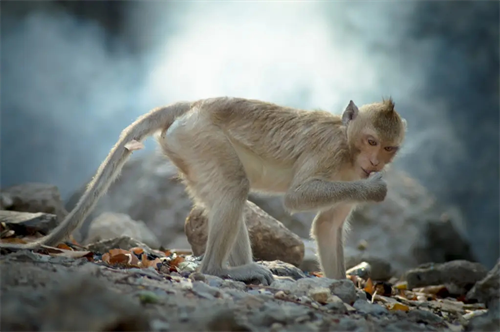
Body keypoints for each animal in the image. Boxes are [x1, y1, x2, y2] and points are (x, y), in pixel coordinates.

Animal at [0, 96, 406, 286]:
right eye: (370, 141)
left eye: (388, 147)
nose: (375, 163)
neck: (347, 145)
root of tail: (195, 104)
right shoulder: (329, 152)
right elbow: (297, 197)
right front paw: (376, 189)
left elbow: (327, 226)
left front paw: (342, 287)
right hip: (200, 137)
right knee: (235, 189)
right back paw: (218, 271)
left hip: (187, 149)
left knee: (228, 195)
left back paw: (245, 268)